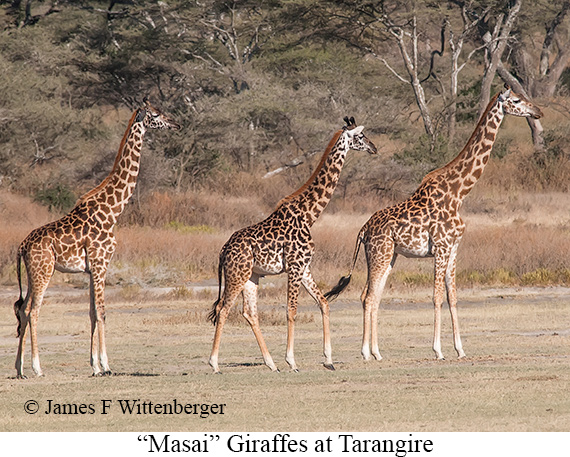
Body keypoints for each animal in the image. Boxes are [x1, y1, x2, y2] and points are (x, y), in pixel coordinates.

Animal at [13, 98, 180, 376]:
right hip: (43, 270)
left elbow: (92, 313)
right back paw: (37, 367)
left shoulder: (92, 269)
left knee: (22, 309)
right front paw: (106, 365)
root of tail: (22, 246)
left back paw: (19, 368)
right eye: (156, 114)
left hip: (31, 272)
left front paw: (94, 365)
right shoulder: (102, 264)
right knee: (32, 310)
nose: (176, 124)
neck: (113, 210)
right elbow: (102, 312)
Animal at [206, 116, 374, 372]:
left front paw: (328, 359)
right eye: (361, 136)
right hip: (237, 274)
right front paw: (292, 361)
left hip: (251, 277)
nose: (374, 148)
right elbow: (292, 310)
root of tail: (223, 250)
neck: (309, 214)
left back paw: (270, 363)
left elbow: (323, 302)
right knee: (222, 309)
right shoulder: (294, 266)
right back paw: (214, 364)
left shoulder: (305, 267)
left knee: (249, 313)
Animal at [324, 87, 540, 362]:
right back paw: (365, 352)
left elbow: (453, 297)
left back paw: (376, 352)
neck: (459, 192)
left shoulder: (454, 248)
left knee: (373, 296)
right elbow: (437, 297)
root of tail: (363, 230)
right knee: (369, 296)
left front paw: (460, 349)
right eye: (516, 100)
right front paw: (438, 350)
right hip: (379, 253)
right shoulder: (441, 247)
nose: (537, 111)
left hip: (389, 256)